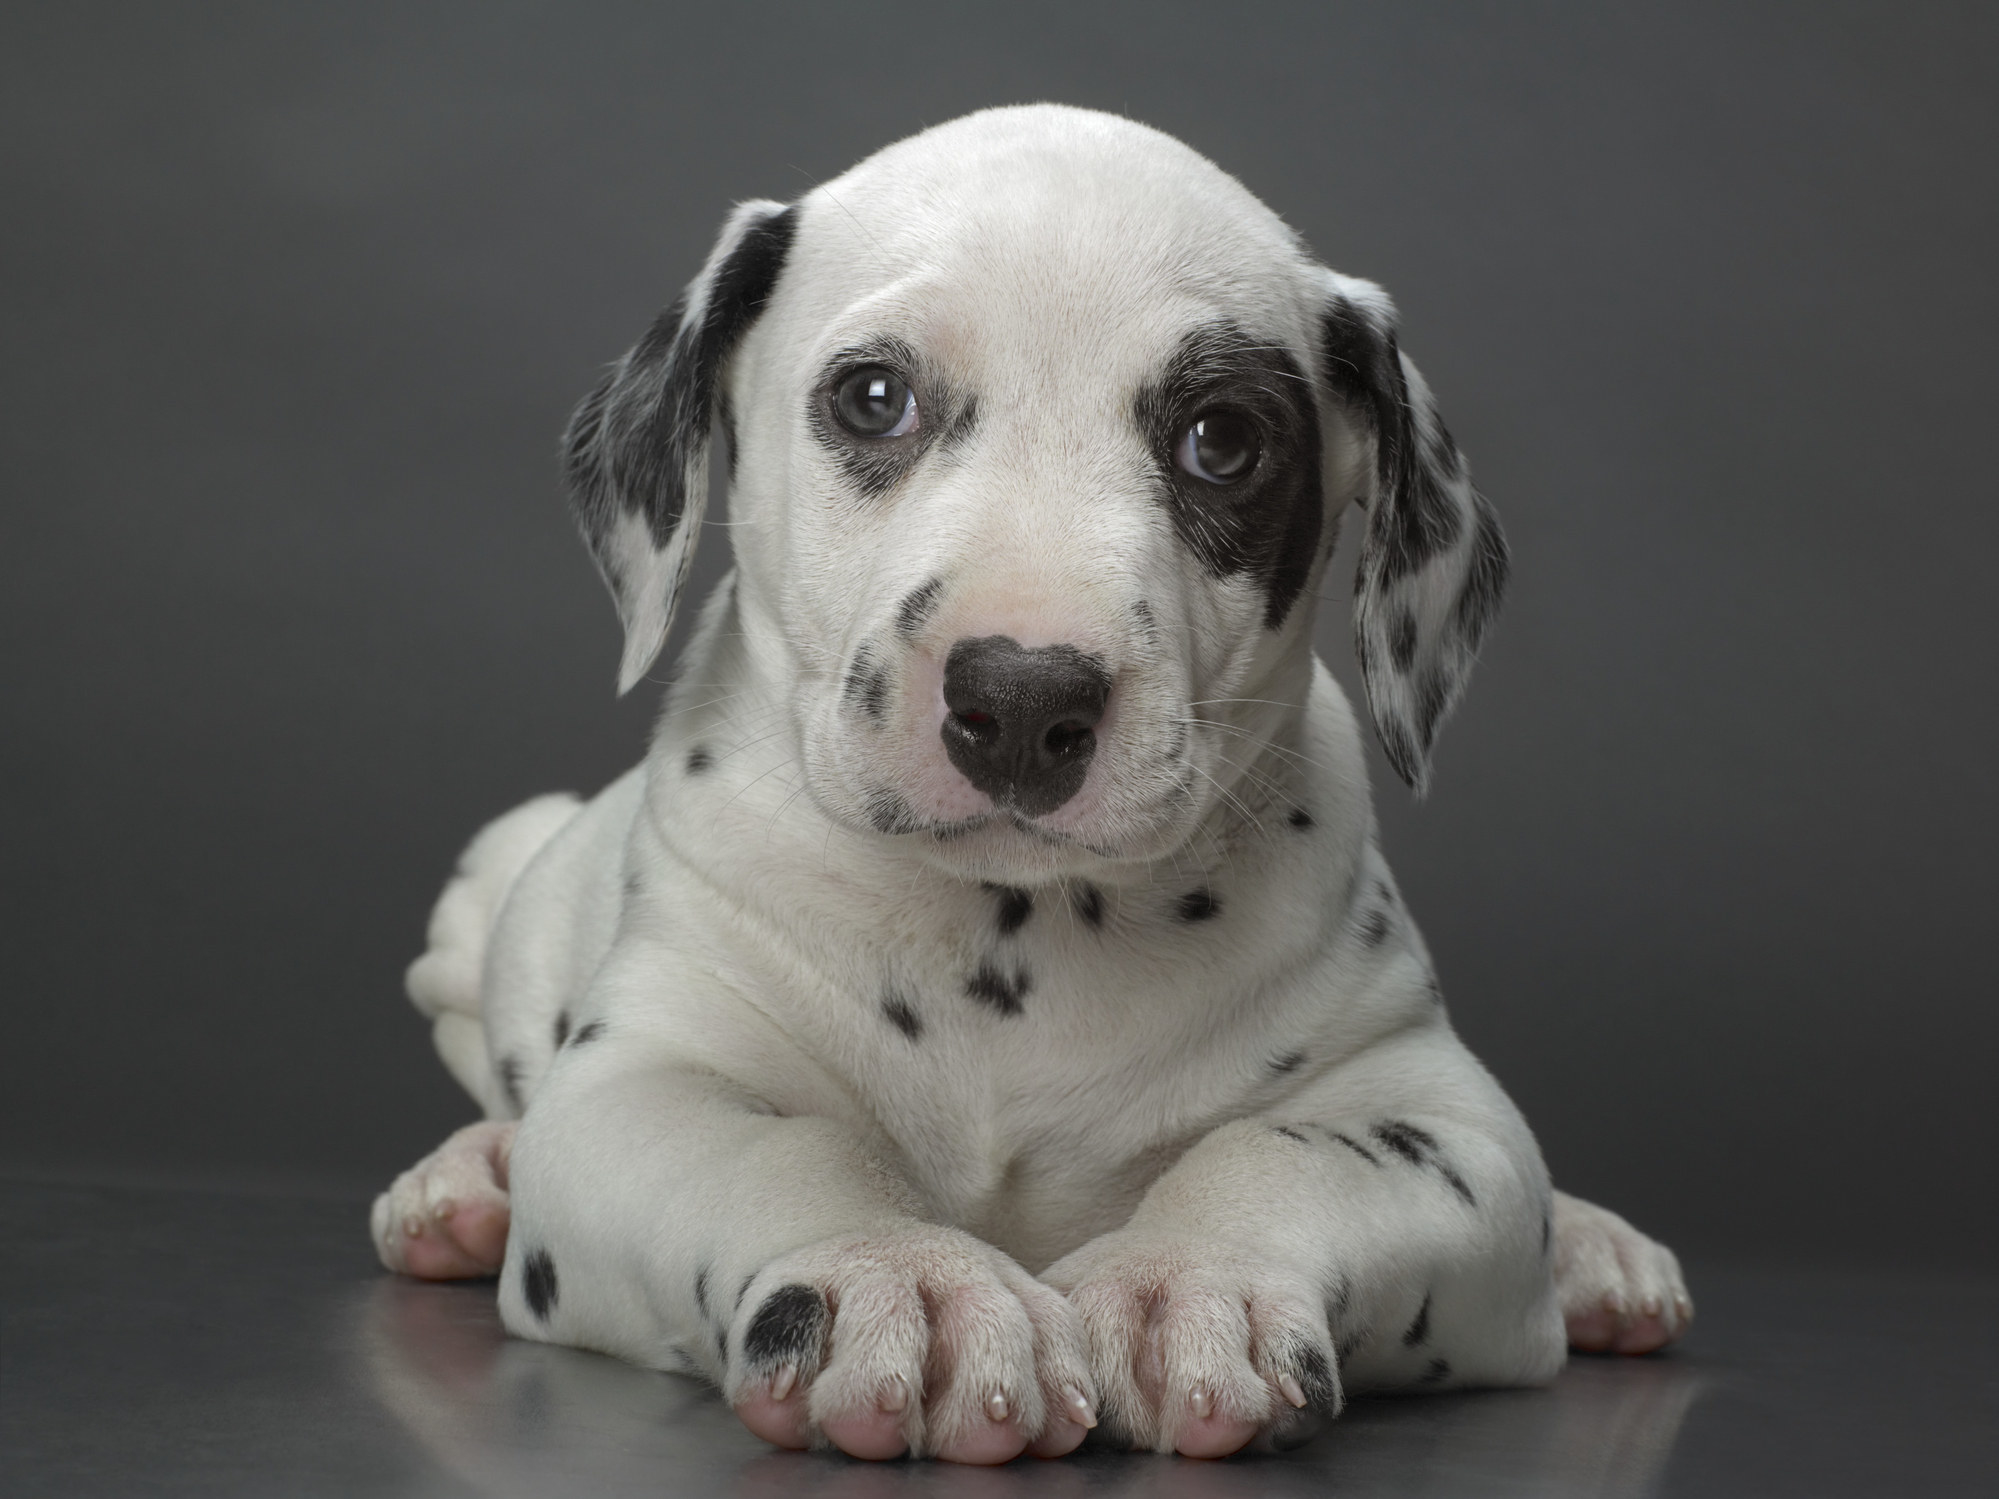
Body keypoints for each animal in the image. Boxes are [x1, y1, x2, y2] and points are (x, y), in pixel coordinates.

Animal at [371, 105, 1687, 1471]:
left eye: (1222, 440)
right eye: (872, 397)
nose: (1017, 698)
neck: (1011, 932)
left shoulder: (1441, 1116)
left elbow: (1293, 1150)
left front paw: (1190, 1270)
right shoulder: (637, 1081)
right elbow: (774, 1149)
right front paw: (898, 1271)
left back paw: (1596, 1252)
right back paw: (464, 1181)